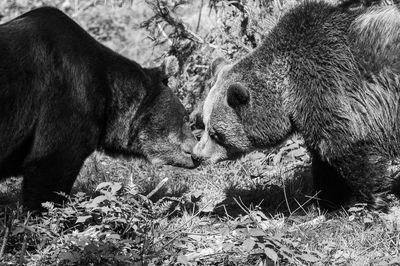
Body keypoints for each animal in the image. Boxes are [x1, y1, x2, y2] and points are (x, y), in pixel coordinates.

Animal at [194, 1, 400, 210]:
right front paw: (325, 200)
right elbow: (324, 161)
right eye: (204, 123)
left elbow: (346, 147)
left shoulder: (328, 86)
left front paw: (374, 200)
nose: (197, 155)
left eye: (216, 134)